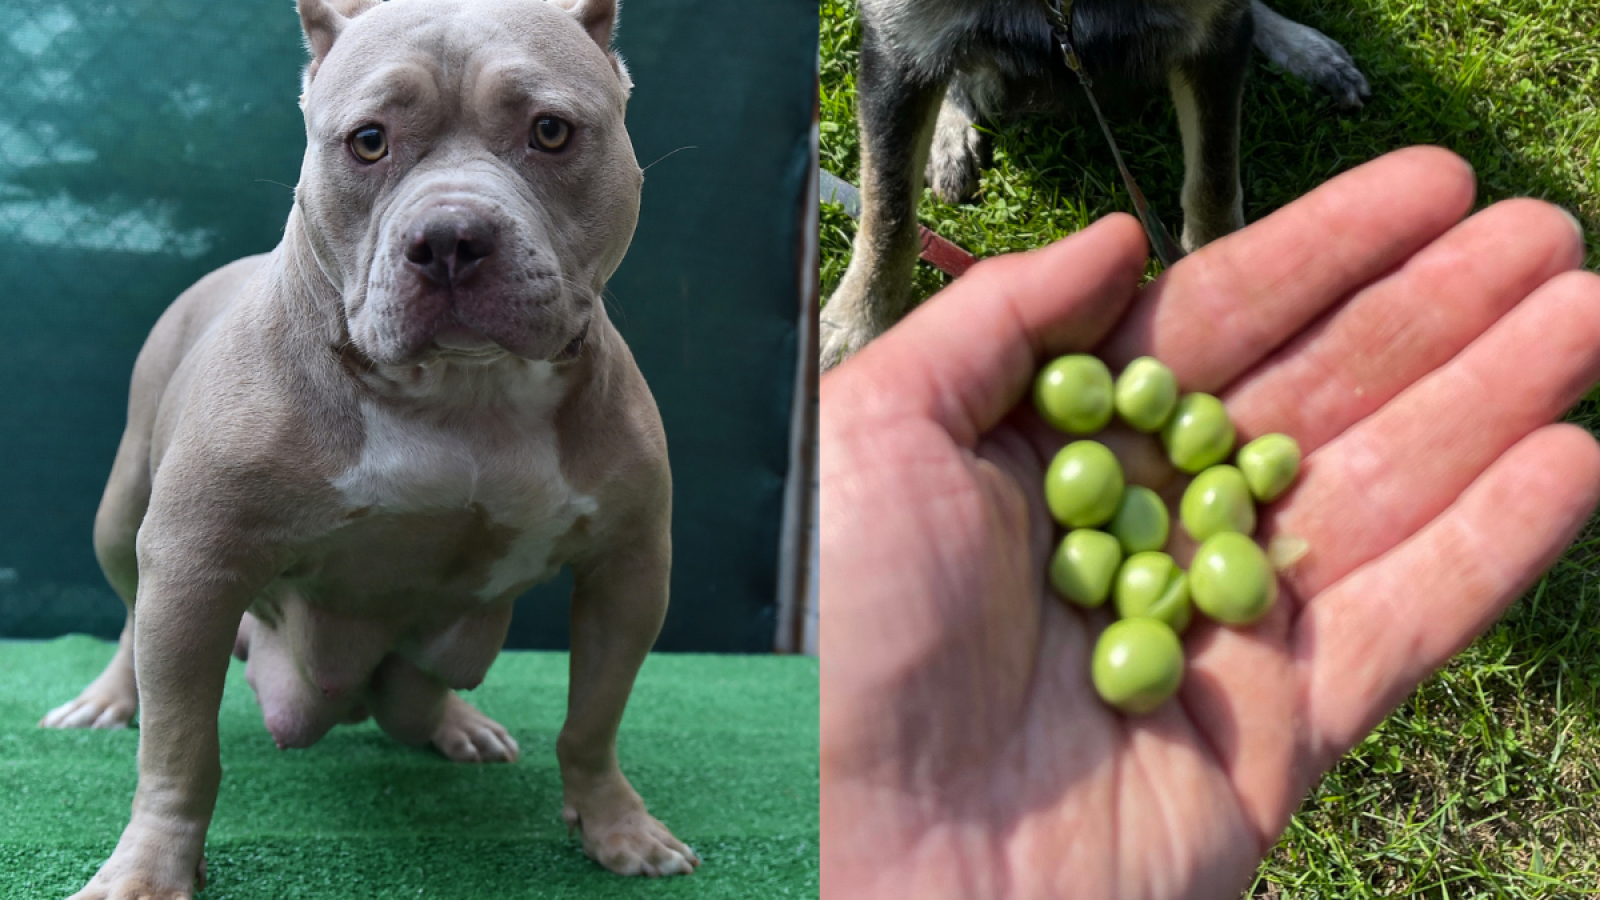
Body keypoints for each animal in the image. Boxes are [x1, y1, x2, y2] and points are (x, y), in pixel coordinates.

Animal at [37, 0, 697, 883]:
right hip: (121, 516)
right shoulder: (193, 564)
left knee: (423, 699)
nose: (451, 236)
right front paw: (150, 866)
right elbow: (182, 749)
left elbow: (593, 719)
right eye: (370, 140)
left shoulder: (628, 569)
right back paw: (110, 699)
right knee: (127, 614)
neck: (462, 395)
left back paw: (458, 723)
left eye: (551, 131)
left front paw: (616, 825)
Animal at [825, 0, 1376, 368]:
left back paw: (1310, 52)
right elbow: (887, 209)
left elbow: (1214, 178)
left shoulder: (1214, 38)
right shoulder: (895, 45)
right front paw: (855, 326)